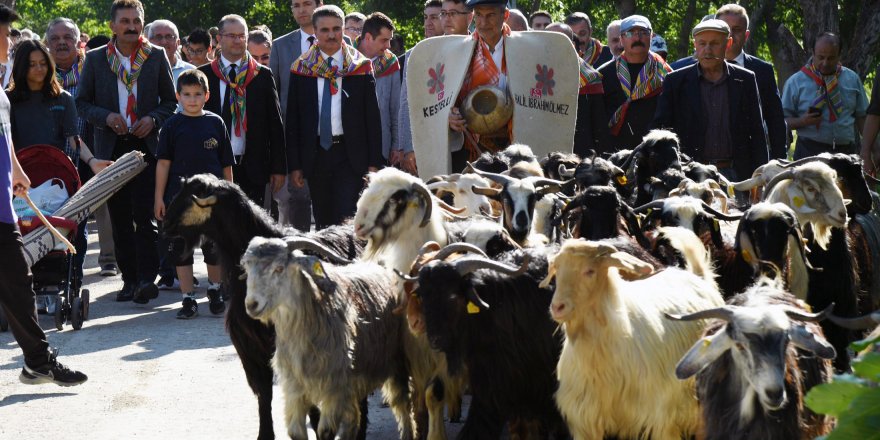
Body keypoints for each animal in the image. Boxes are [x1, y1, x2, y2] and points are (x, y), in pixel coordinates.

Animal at [540, 241, 724, 440]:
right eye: (557, 269)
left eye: (590, 271)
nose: (557, 307)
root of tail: (698, 278)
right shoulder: (586, 420)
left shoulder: (662, 417)